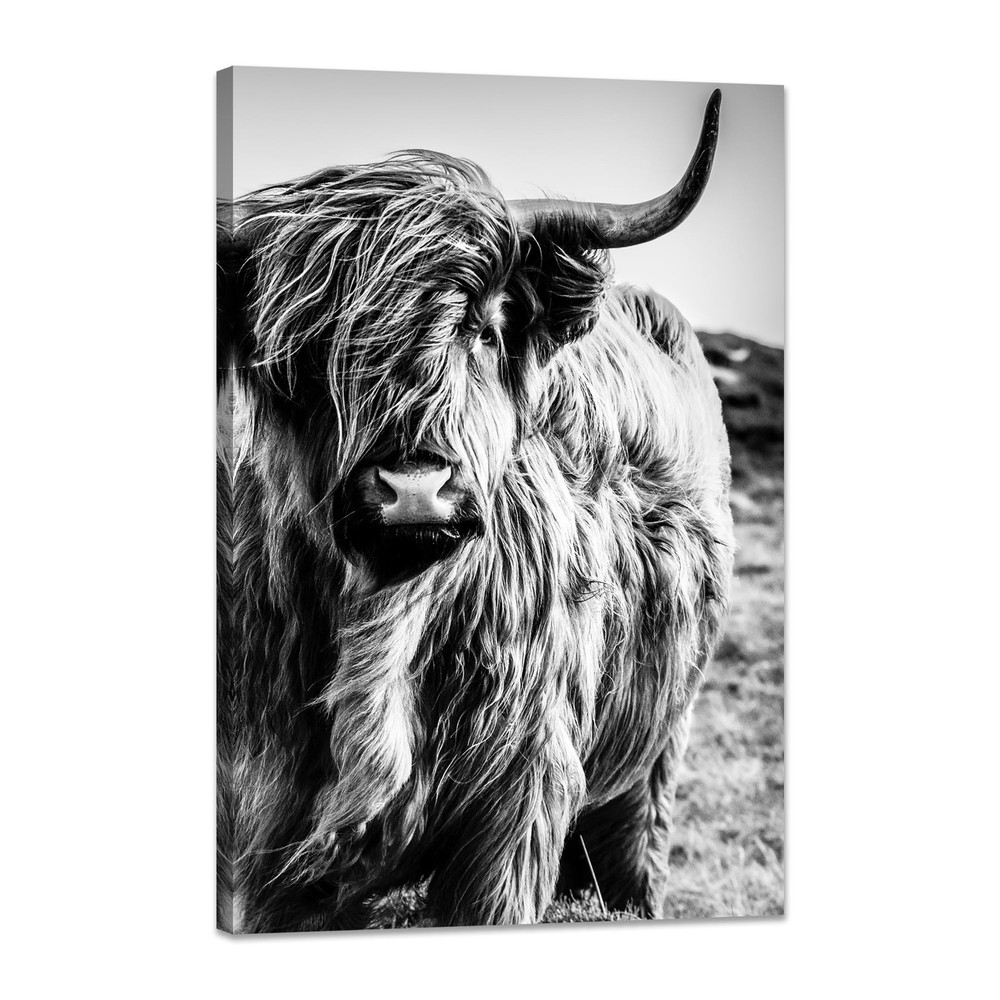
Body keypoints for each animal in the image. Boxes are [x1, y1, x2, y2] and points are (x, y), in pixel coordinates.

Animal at [217, 88, 734, 932]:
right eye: (303, 353)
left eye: (485, 328)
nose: (413, 487)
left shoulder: (521, 794)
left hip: (666, 732)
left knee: (638, 834)